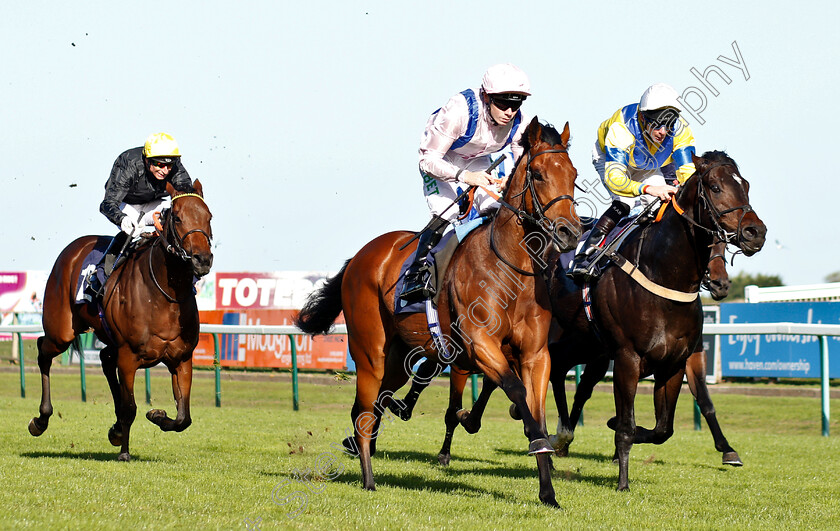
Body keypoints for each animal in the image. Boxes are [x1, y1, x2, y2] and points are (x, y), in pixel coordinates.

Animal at [29, 182, 213, 462]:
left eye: (209, 217)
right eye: (178, 218)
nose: (202, 260)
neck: (164, 297)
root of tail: (74, 248)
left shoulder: (181, 358)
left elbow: (183, 417)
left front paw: (156, 415)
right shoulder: (128, 357)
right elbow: (130, 407)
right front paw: (125, 452)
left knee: (104, 358)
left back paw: (114, 429)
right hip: (61, 332)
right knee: (43, 350)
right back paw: (40, 420)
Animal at [298, 118, 580, 510]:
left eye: (574, 174)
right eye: (538, 174)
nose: (570, 232)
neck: (511, 270)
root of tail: (361, 255)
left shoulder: (536, 355)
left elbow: (535, 407)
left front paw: (548, 491)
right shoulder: (480, 346)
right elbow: (516, 392)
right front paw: (533, 440)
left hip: (399, 356)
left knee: (372, 405)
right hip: (370, 352)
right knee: (366, 411)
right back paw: (368, 479)